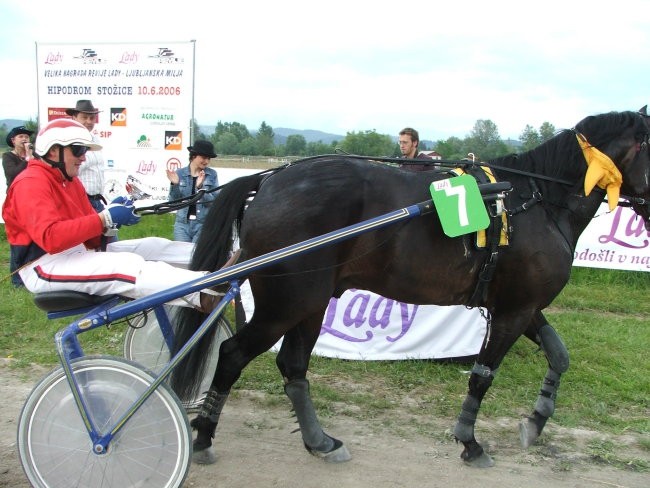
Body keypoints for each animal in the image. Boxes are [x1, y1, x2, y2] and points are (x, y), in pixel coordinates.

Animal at [171, 108, 648, 468]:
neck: (533, 200)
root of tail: (268, 182)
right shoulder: (514, 311)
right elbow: (482, 376)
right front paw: (470, 441)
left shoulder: (519, 305)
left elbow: (559, 355)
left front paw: (536, 421)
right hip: (286, 303)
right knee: (233, 355)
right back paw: (205, 437)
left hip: (310, 303)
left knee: (293, 367)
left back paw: (320, 441)